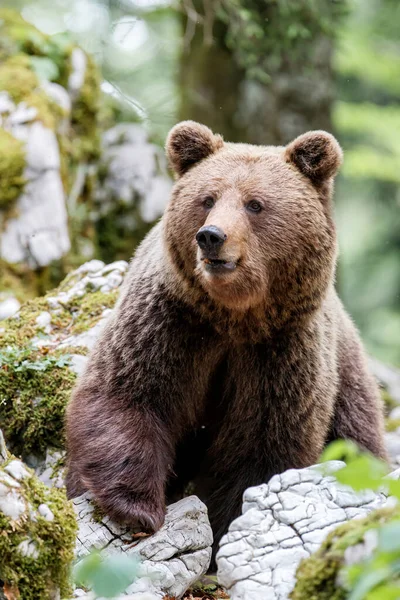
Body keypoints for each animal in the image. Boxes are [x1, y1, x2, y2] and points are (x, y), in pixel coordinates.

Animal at [65, 122, 388, 564]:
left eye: (255, 204)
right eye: (207, 198)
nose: (211, 236)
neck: (234, 317)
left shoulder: (280, 353)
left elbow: (259, 450)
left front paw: (223, 535)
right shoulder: (170, 323)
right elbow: (128, 394)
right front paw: (139, 509)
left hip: (350, 390)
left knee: (358, 443)